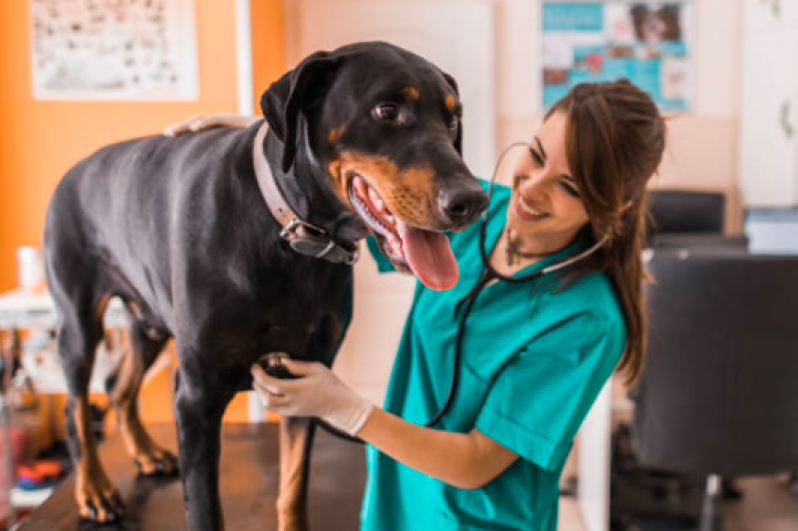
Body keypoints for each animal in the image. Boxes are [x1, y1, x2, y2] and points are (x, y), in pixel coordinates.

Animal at [43, 42, 488, 531]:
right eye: (387, 110)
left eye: (452, 118)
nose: (473, 201)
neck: (291, 234)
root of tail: (73, 170)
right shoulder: (195, 396)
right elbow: (205, 510)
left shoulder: (306, 378)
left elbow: (292, 488)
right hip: (77, 320)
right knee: (76, 406)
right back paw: (95, 489)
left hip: (149, 322)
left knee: (117, 385)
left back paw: (144, 453)